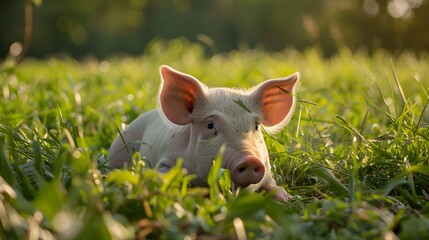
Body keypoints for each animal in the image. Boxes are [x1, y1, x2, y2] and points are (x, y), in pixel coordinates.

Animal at [107, 64, 300, 202]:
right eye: (210, 125)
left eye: (256, 126)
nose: (249, 159)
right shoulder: (166, 160)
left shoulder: (267, 169)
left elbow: (272, 184)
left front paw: (287, 198)